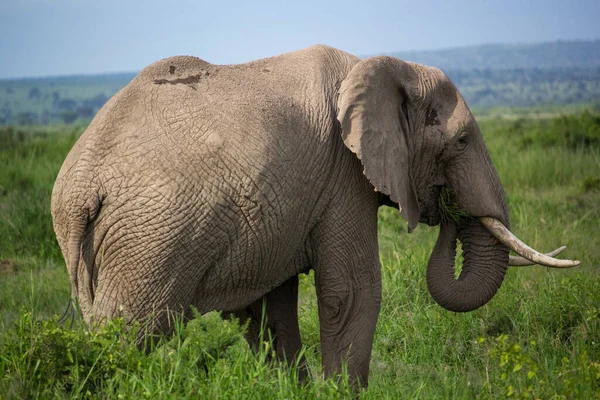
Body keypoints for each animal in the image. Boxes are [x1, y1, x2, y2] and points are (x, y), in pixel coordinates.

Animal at [51, 43, 576, 388]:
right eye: (462, 141)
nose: (447, 206)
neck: (385, 66)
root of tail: (78, 190)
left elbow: (269, 308)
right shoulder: (343, 174)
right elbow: (354, 289)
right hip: (152, 239)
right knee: (130, 333)